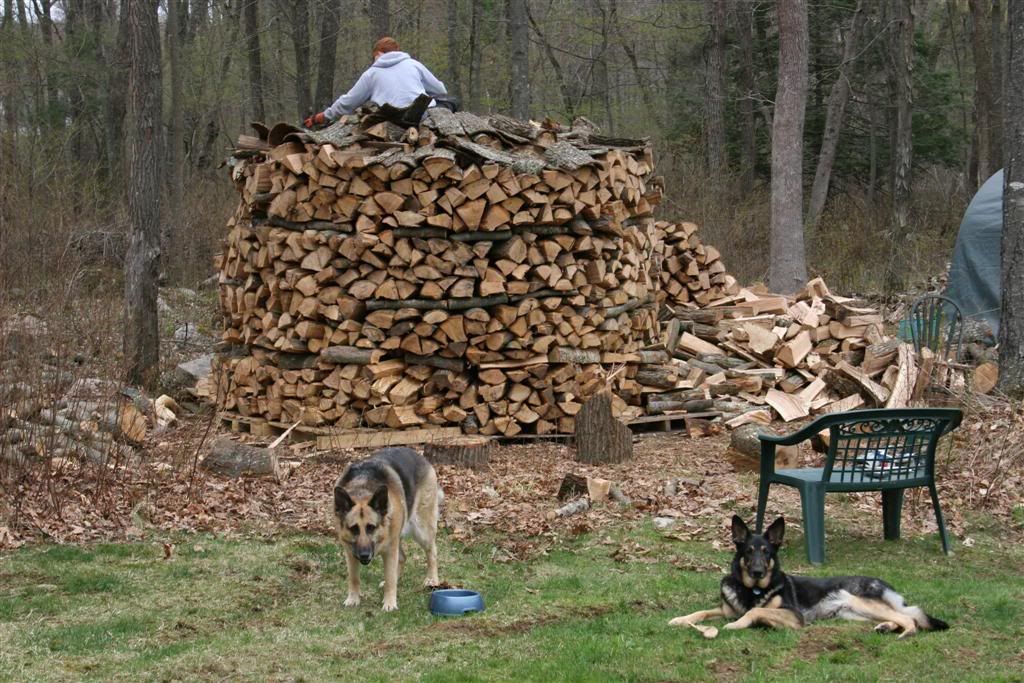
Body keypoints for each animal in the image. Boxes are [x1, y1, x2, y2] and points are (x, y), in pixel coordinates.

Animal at [329, 448, 438, 614]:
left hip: (421, 530)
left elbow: (390, 578)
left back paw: (432, 579)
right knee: (403, 558)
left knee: (432, 552)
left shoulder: (390, 550)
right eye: (354, 528)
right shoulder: (350, 552)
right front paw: (353, 599)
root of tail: (418, 455)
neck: (362, 489)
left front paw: (389, 603)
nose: (364, 555)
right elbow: (353, 578)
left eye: (371, 527)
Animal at [667, 516, 946, 638]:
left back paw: (904, 633)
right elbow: (701, 612)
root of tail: (882, 582)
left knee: (910, 619)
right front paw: (680, 619)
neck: (753, 589)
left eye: (766, 552)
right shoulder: (725, 609)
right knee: (897, 617)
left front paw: (739, 624)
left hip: (860, 602)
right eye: (748, 552)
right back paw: (886, 627)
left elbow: (755, 611)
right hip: (854, 614)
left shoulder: (794, 614)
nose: (757, 572)